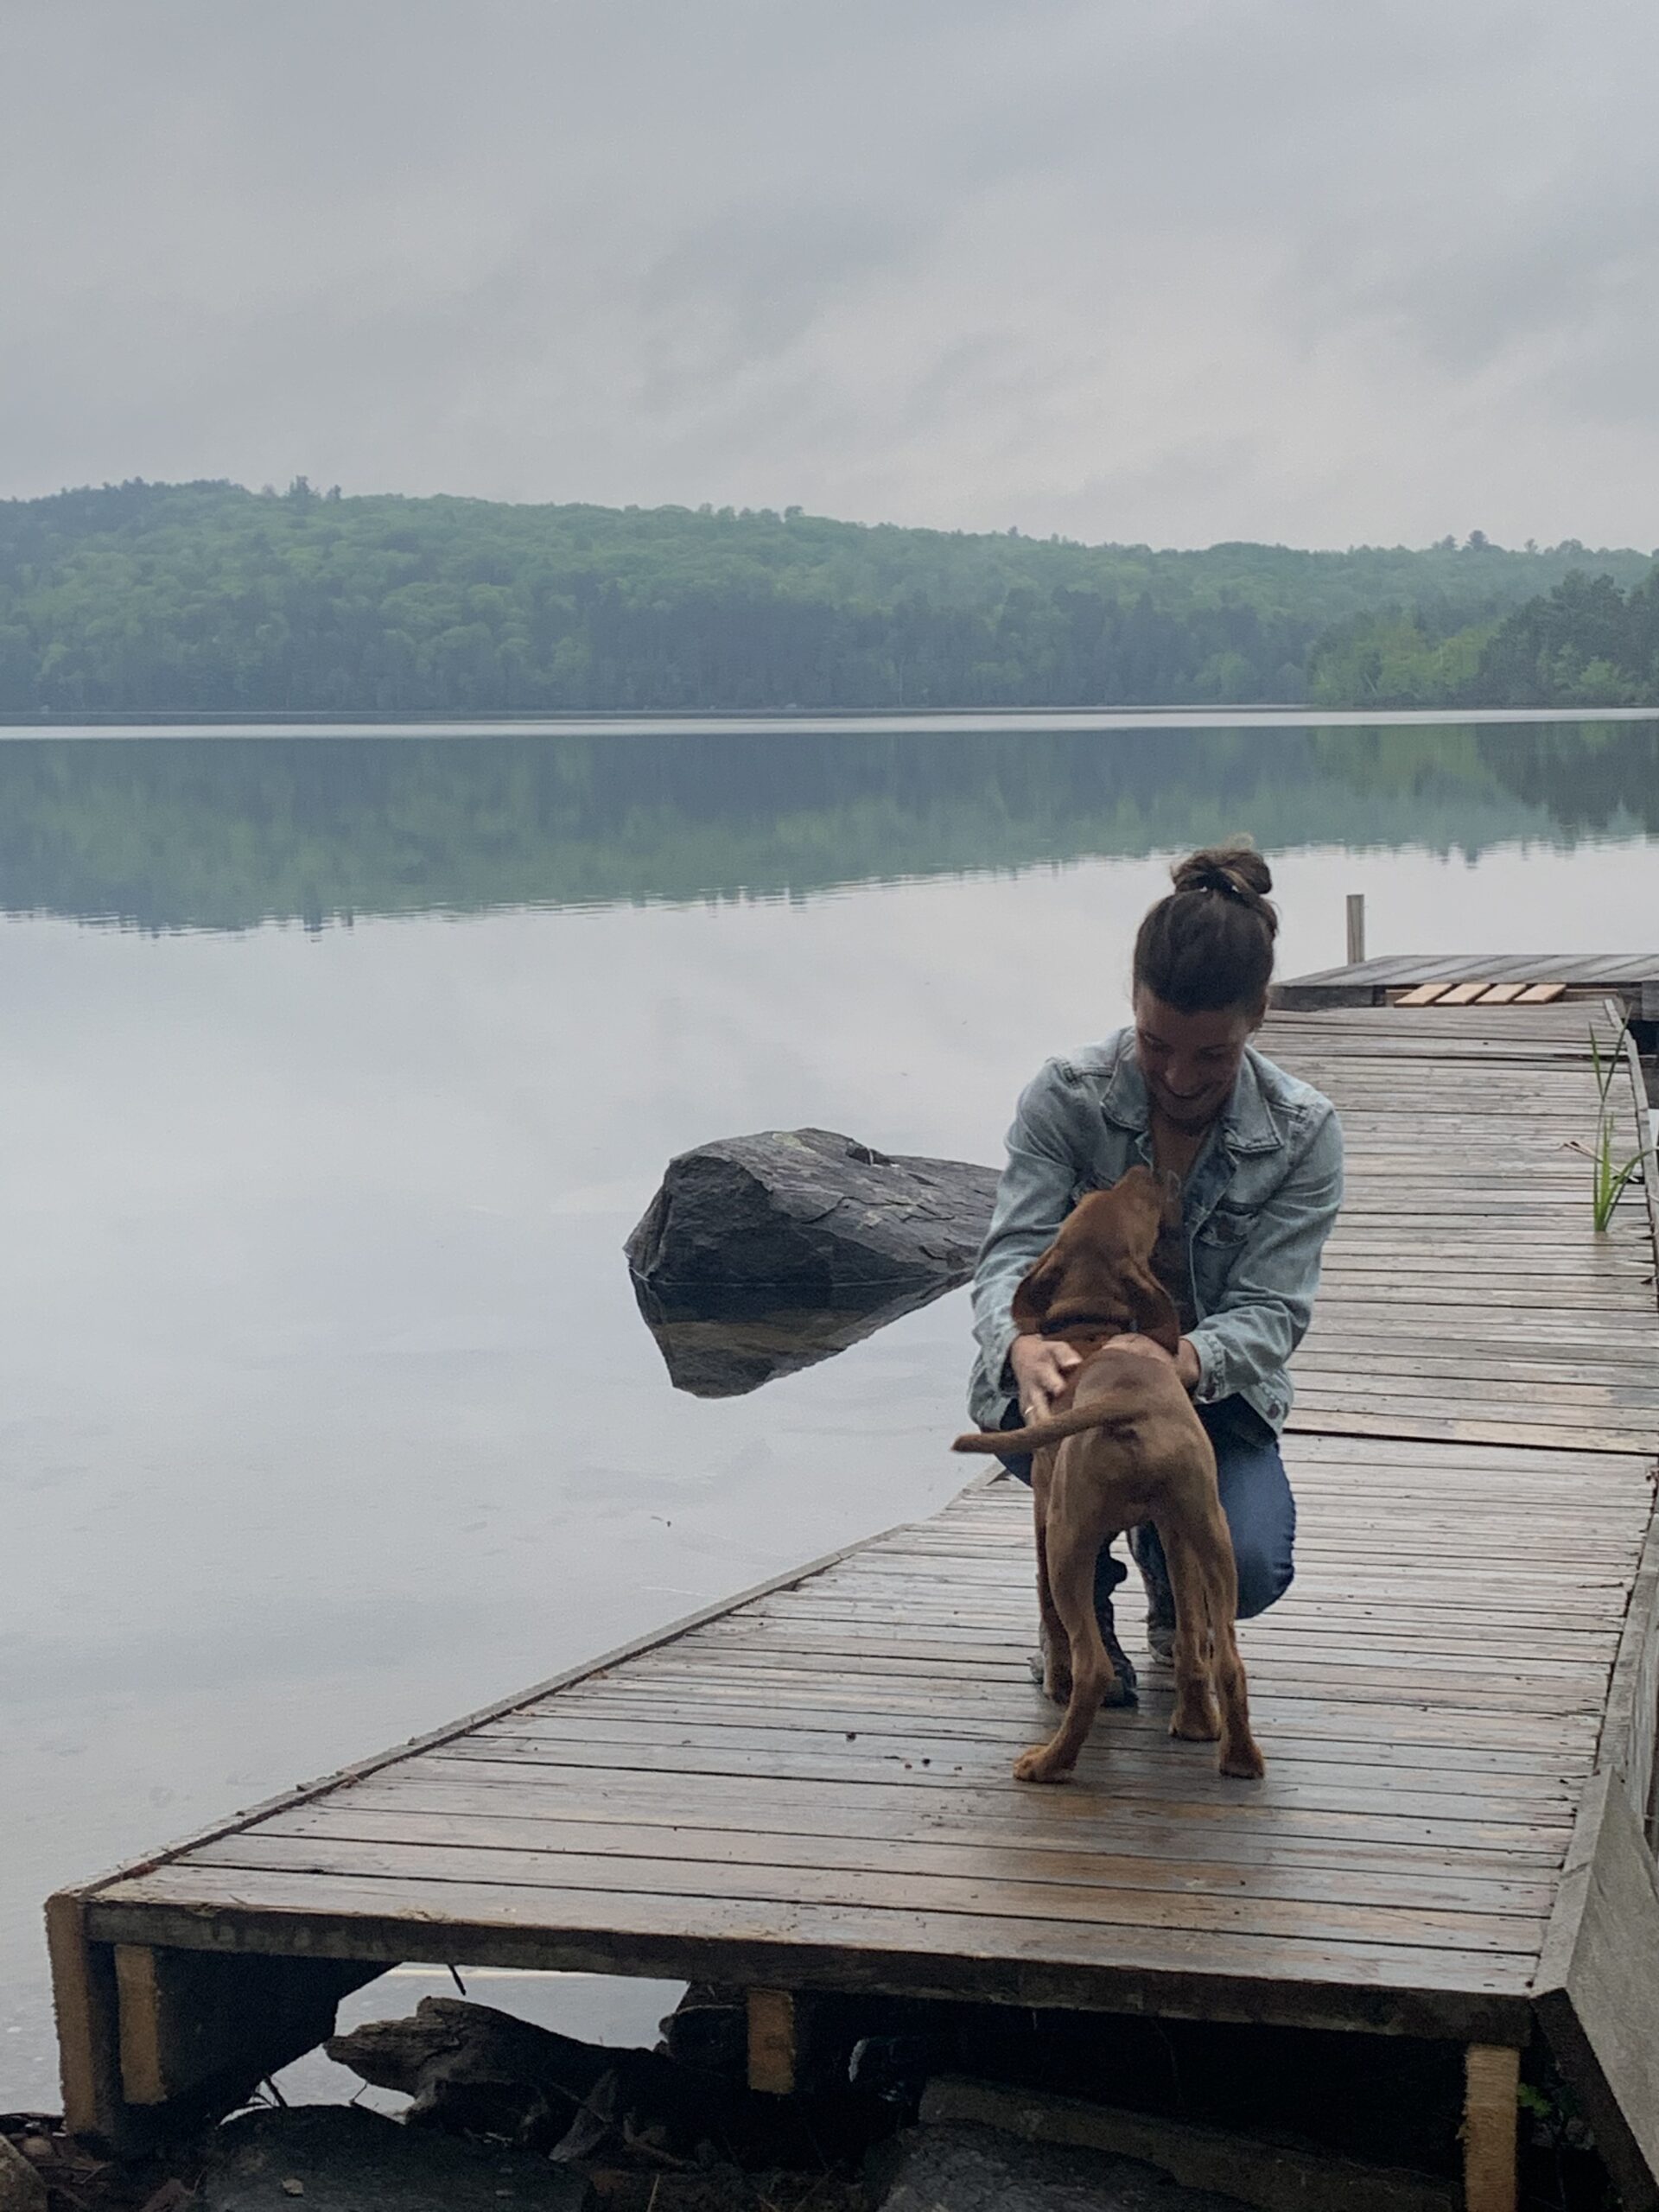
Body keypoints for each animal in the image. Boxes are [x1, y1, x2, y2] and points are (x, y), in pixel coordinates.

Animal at [955, 1167, 1265, 1787]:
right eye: (1132, 1202)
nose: (1152, 1173)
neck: (1093, 1331)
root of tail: (1129, 1405)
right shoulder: (1173, 1531)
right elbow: (1192, 1638)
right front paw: (1197, 1722)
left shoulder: (1043, 1514)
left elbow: (1049, 1611)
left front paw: (1054, 1679)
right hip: (1209, 1529)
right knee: (1228, 1658)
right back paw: (1236, 1755)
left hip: (1068, 1534)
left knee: (1093, 1664)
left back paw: (1048, 1763)